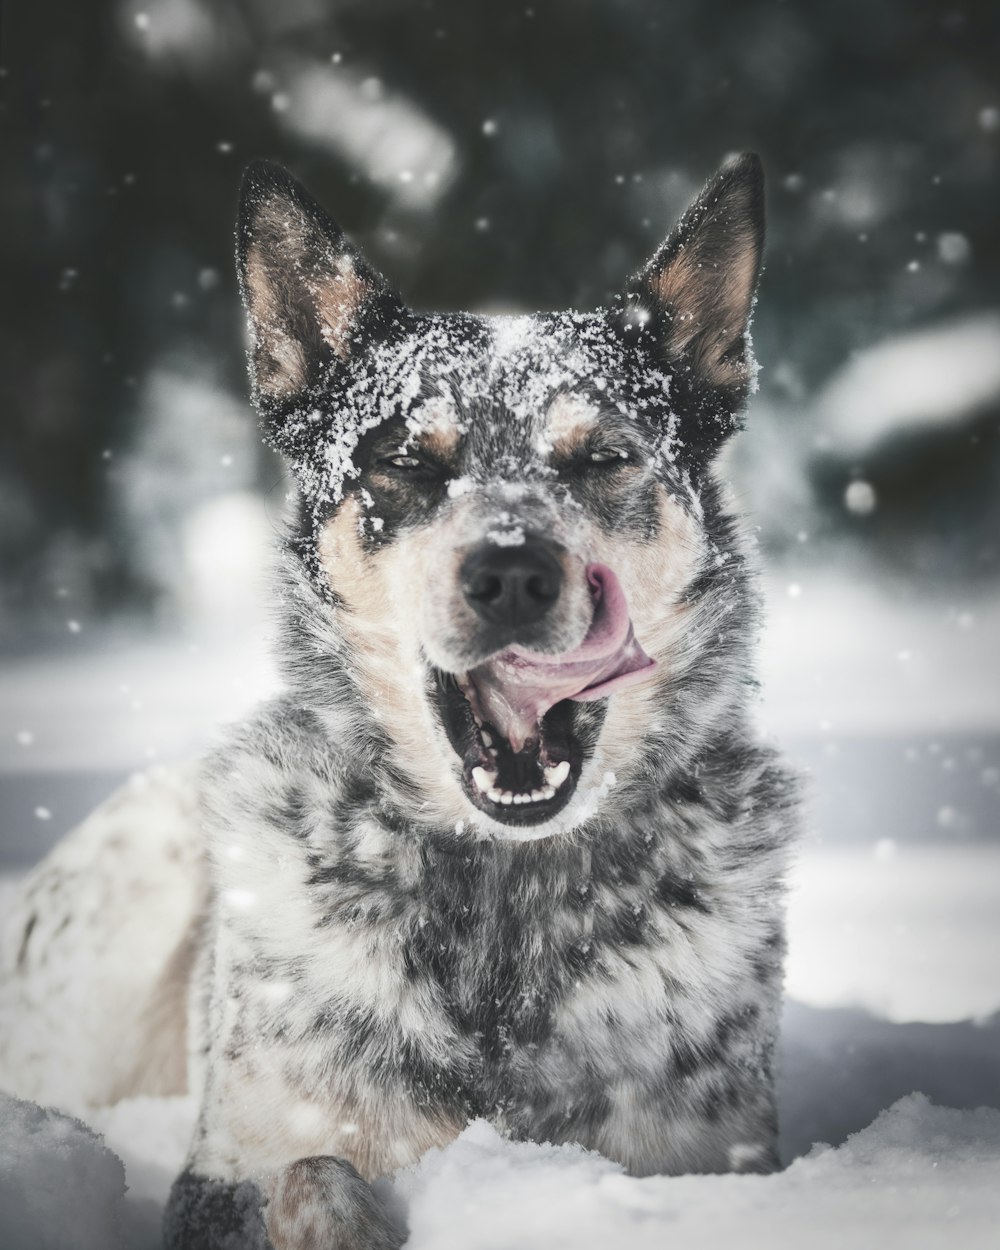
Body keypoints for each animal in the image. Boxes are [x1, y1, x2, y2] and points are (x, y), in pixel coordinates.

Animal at [0, 156, 795, 1250]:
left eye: (602, 459)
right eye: (408, 463)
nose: (513, 574)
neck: (500, 897)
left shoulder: (717, 1156)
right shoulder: (228, 1164)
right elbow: (311, 1167)